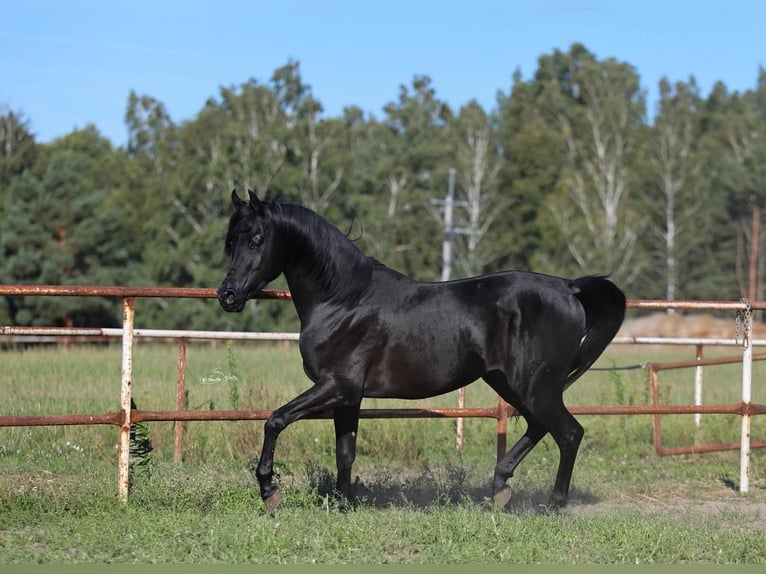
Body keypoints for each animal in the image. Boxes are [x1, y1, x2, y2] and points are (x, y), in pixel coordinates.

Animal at [217, 189, 626, 512]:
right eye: (230, 242)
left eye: (256, 240)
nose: (228, 296)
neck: (344, 300)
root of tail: (568, 288)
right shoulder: (349, 397)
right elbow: (345, 452)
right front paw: (343, 504)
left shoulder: (336, 386)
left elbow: (275, 420)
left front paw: (269, 490)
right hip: (509, 384)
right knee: (540, 426)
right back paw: (499, 488)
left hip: (536, 386)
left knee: (569, 433)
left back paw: (553, 505)